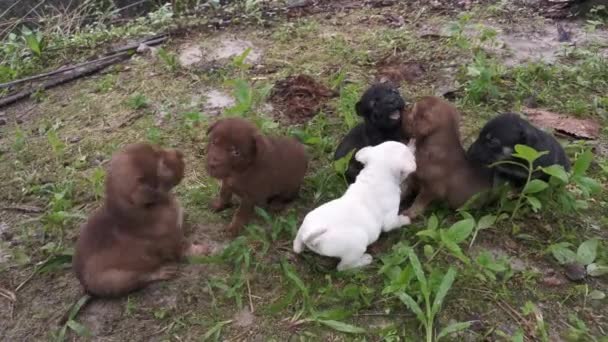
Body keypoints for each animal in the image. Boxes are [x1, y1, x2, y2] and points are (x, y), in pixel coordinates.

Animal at [72, 143, 207, 298]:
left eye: (157, 148)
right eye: (162, 164)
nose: (180, 153)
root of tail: (86, 288)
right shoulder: (172, 240)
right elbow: (183, 247)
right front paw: (200, 250)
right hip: (116, 278)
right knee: (141, 278)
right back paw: (162, 272)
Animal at [292, 140, 416, 272]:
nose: (412, 144)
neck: (377, 173)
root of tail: (312, 237)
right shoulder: (390, 219)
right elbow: (395, 222)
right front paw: (405, 219)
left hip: (305, 225)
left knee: (297, 244)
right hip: (357, 246)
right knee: (343, 267)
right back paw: (364, 260)